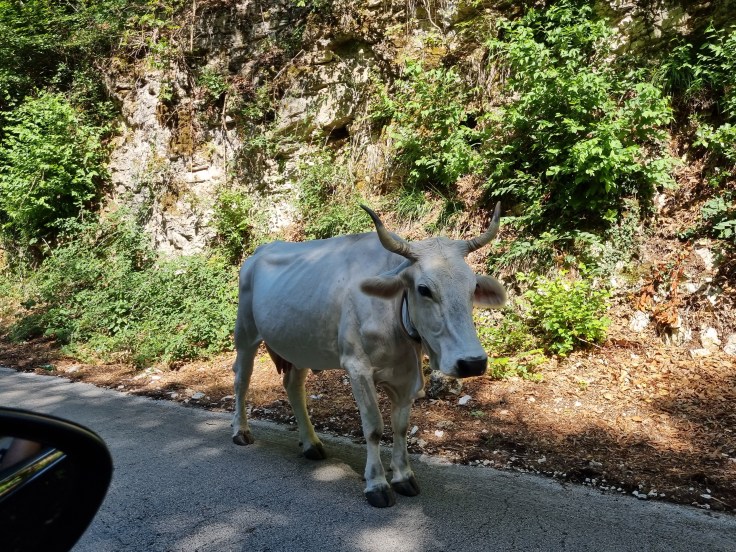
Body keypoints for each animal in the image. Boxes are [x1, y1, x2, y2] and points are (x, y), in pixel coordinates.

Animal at [232, 203, 507, 507]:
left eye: (472, 288)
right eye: (424, 289)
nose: (472, 363)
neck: (394, 314)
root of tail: (261, 250)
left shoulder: (406, 375)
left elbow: (401, 426)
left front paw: (403, 476)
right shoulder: (358, 367)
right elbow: (374, 426)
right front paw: (377, 484)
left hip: (298, 345)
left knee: (293, 387)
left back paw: (311, 444)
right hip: (245, 333)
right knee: (241, 380)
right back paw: (241, 432)